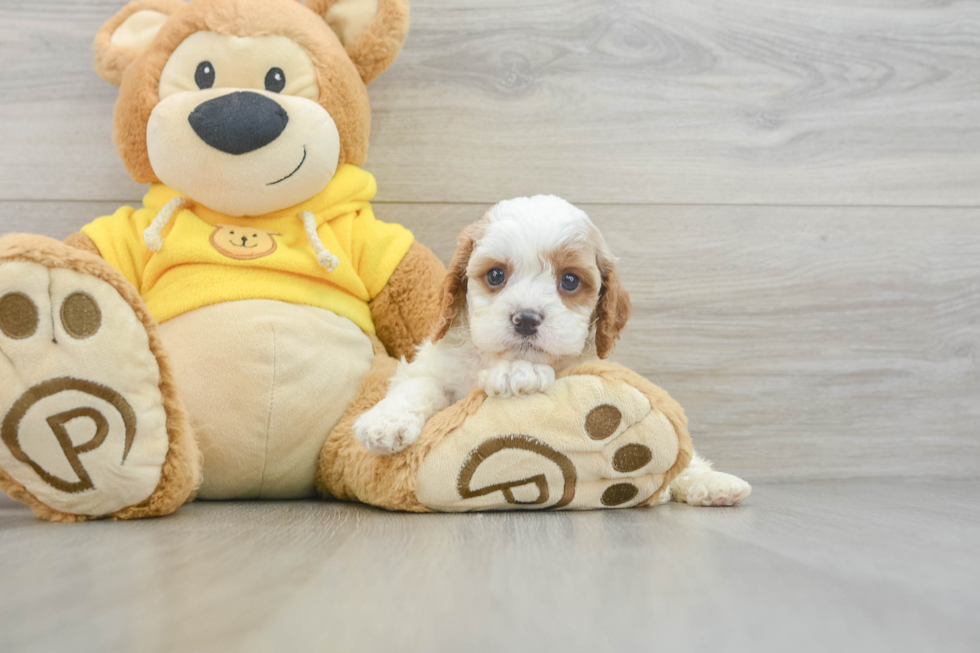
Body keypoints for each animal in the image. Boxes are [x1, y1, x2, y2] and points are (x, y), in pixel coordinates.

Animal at [354, 195, 628, 454]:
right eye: (495, 275)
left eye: (570, 280)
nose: (526, 319)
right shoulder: (435, 365)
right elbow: (419, 384)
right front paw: (385, 422)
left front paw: (518, 371)